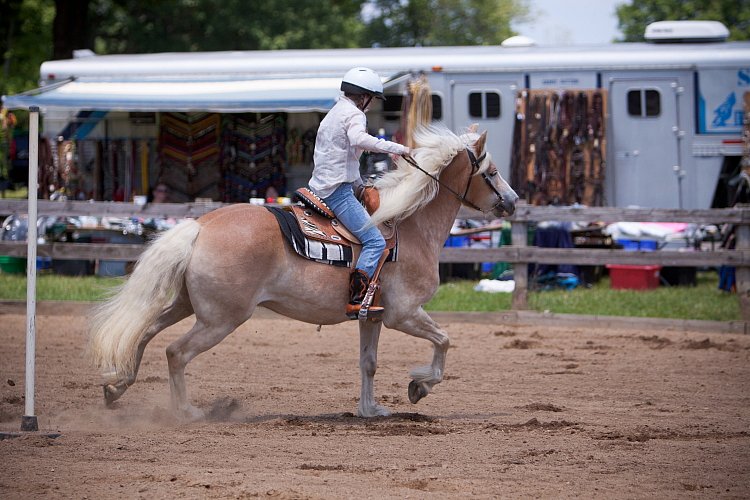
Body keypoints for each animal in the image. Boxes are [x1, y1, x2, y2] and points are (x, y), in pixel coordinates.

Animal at [89, 125, 516, 418]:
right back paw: (188, 412)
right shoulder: (404, 314)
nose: (512, 201)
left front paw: (370, 410)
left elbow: (369, 363)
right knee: (175, 352)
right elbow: (444, 341)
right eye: (492, 172)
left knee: (144, 332)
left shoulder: (372, 317)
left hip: (187, 305)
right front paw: (419, 387)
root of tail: (201, 226)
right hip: (220, 319)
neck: (409, 225)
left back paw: (116, 387)